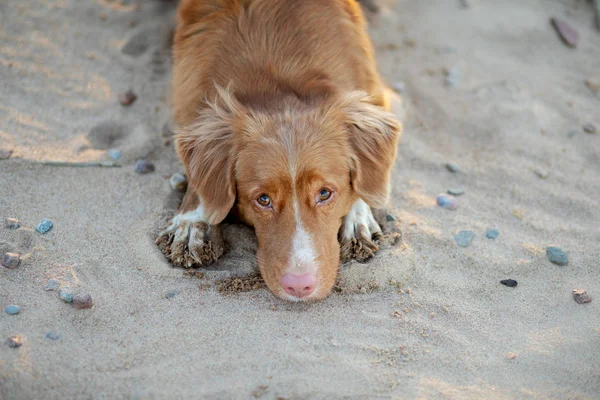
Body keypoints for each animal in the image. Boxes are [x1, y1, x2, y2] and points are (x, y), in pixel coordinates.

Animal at [157, 0, 404, 300]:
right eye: (263, 199)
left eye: (324, 193)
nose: (298, 286)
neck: (281, 75)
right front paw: (193, 221)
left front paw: (358, 216)